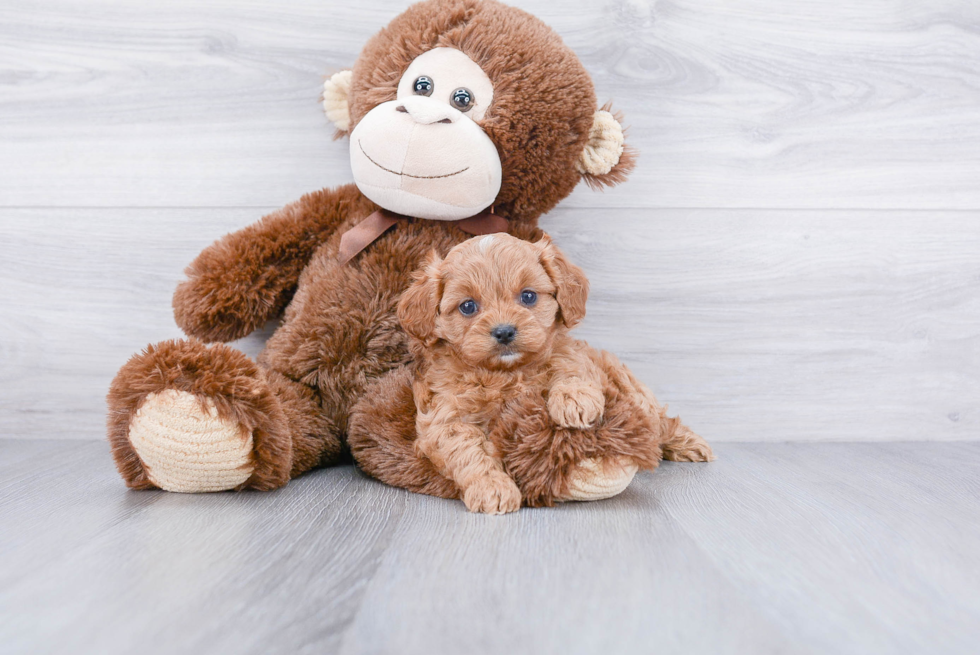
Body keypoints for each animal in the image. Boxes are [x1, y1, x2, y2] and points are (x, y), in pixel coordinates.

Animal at [394, 233, 716, 516]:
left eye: (528, 296)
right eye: (468, 306)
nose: (504, 331)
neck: (506, 373)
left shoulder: (573, 358)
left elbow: (569, 372)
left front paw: (574, 402)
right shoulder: (444, 421)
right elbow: (468, 451)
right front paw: (493, 488)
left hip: (633, 391)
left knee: (661, 422)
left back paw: (691, 445)